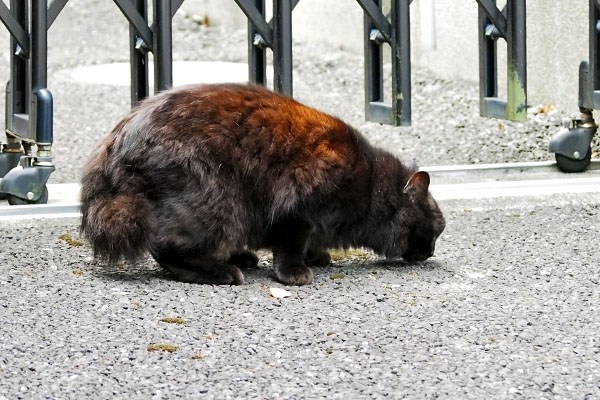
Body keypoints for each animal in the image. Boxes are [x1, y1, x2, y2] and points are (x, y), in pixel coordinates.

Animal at [81, 83, 446, 286]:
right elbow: (290, 245)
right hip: (217, 202)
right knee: (166, 247)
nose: (430, 253)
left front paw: (318, 255)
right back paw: (223, 272)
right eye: (434, 231)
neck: (370, 185)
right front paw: (296, 272)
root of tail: (114, 146)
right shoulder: (298, 208)